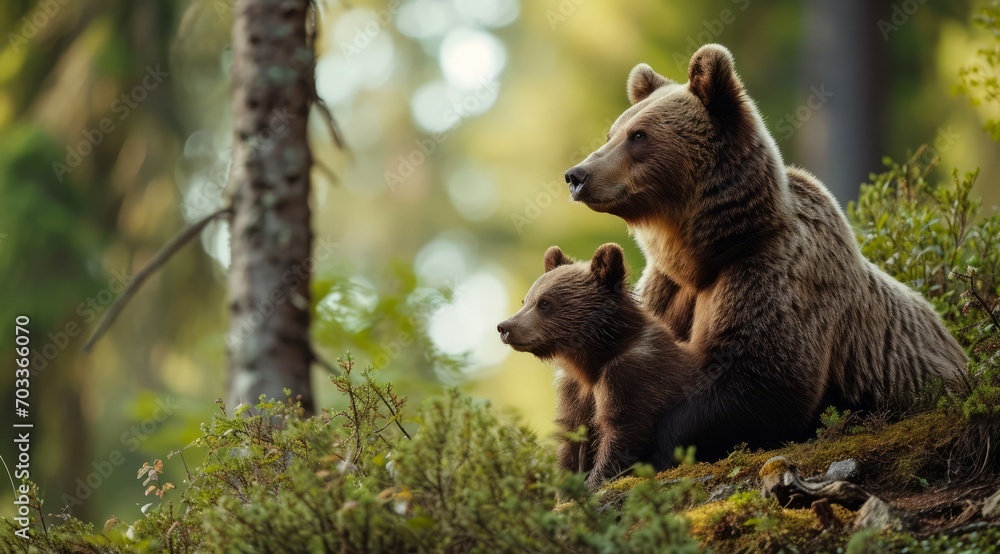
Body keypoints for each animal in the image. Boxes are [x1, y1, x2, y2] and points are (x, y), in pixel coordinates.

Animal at [497, 243, 695, 490]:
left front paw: (594, 484)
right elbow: (571, 441)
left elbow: (622, 431)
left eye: (545, 302)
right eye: (526, 301)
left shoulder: (631, 375)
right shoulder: (574, 390)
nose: (504, 327)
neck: (592, 361)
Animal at [562, 44, 969, 465]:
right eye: (612, 132)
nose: (577, 175)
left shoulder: (769, 273)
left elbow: (763, 380)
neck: (709, 253)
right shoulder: (666, 287)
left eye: (639, 134)